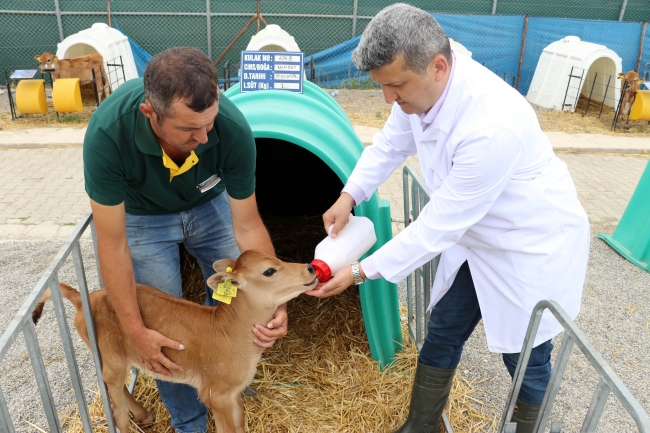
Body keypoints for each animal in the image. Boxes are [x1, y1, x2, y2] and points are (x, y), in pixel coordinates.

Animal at [32, 250, 316, 432]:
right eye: (269, 271)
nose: (310, 267)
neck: (231, 331)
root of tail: (85, 298)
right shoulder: (216, 393)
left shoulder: (233, 391)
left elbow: (239, 424)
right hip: (112, 357)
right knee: (117, 407)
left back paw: (145, 415)